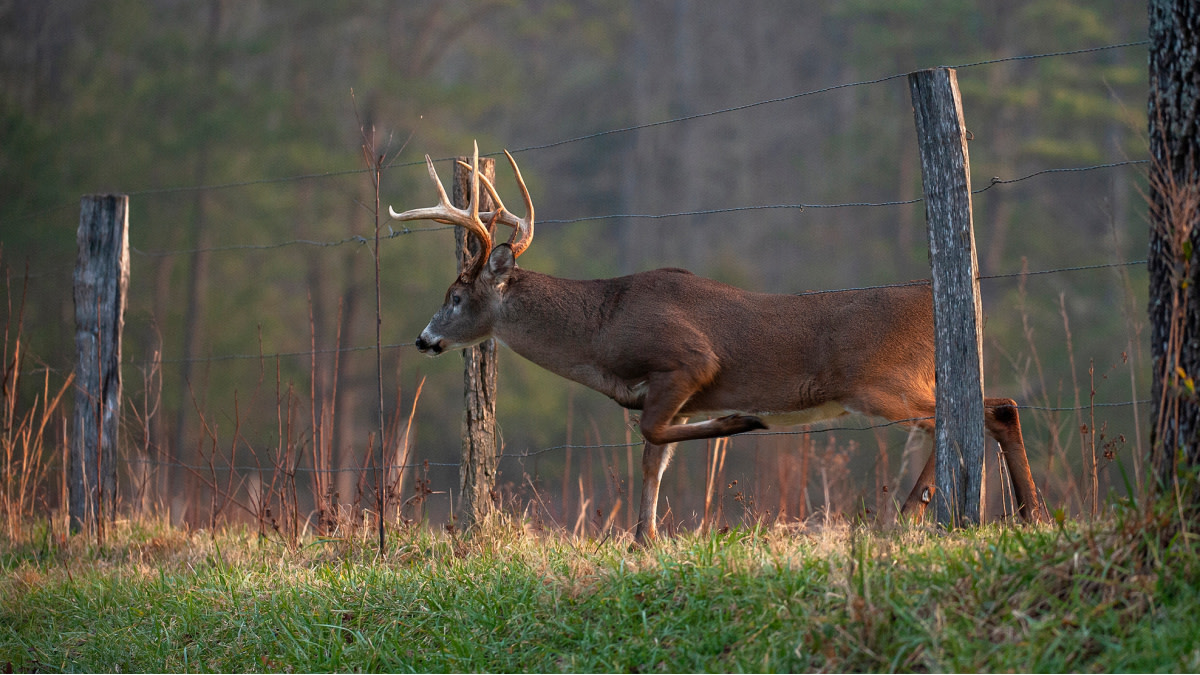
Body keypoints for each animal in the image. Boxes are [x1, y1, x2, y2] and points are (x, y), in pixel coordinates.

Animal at [391, 143, 1046, 544]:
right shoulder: (672, 394)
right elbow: (652, 457)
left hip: (879, 382)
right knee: (982, 410)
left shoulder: (686, 361)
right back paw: (1009, 511)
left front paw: (741, 423)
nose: (423, 339)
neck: (601, 331)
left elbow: (653, 435)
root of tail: (945, 298)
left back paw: (933, 510)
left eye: (455, 296)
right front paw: (642, 538)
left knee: (977, 411)